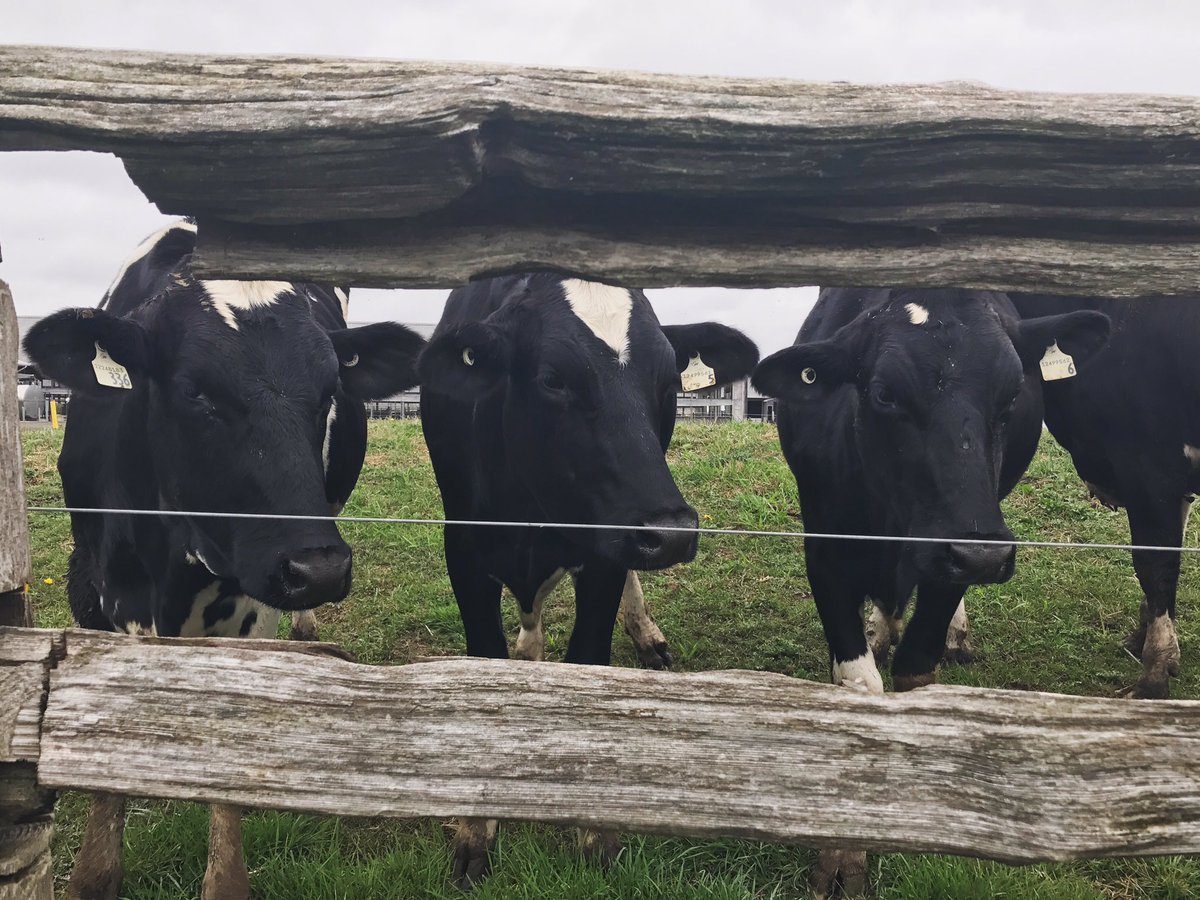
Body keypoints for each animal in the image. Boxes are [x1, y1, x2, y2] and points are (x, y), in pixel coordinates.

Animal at [416, 272, 759, 888]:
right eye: (553, 378)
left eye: (668, 381)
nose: (672, 533)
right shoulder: (464, 552)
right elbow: (485, 669)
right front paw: (477, 830)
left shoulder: (604, 555)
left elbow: (590, 660)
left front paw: (595, 828)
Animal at [752, 287, 1108, 897]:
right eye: (883, 394)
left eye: (1013, 394)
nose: (980, 553)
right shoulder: (825, 554)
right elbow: (858, 686)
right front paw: (842, 853)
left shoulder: (953, 562)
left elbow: (918, 671)